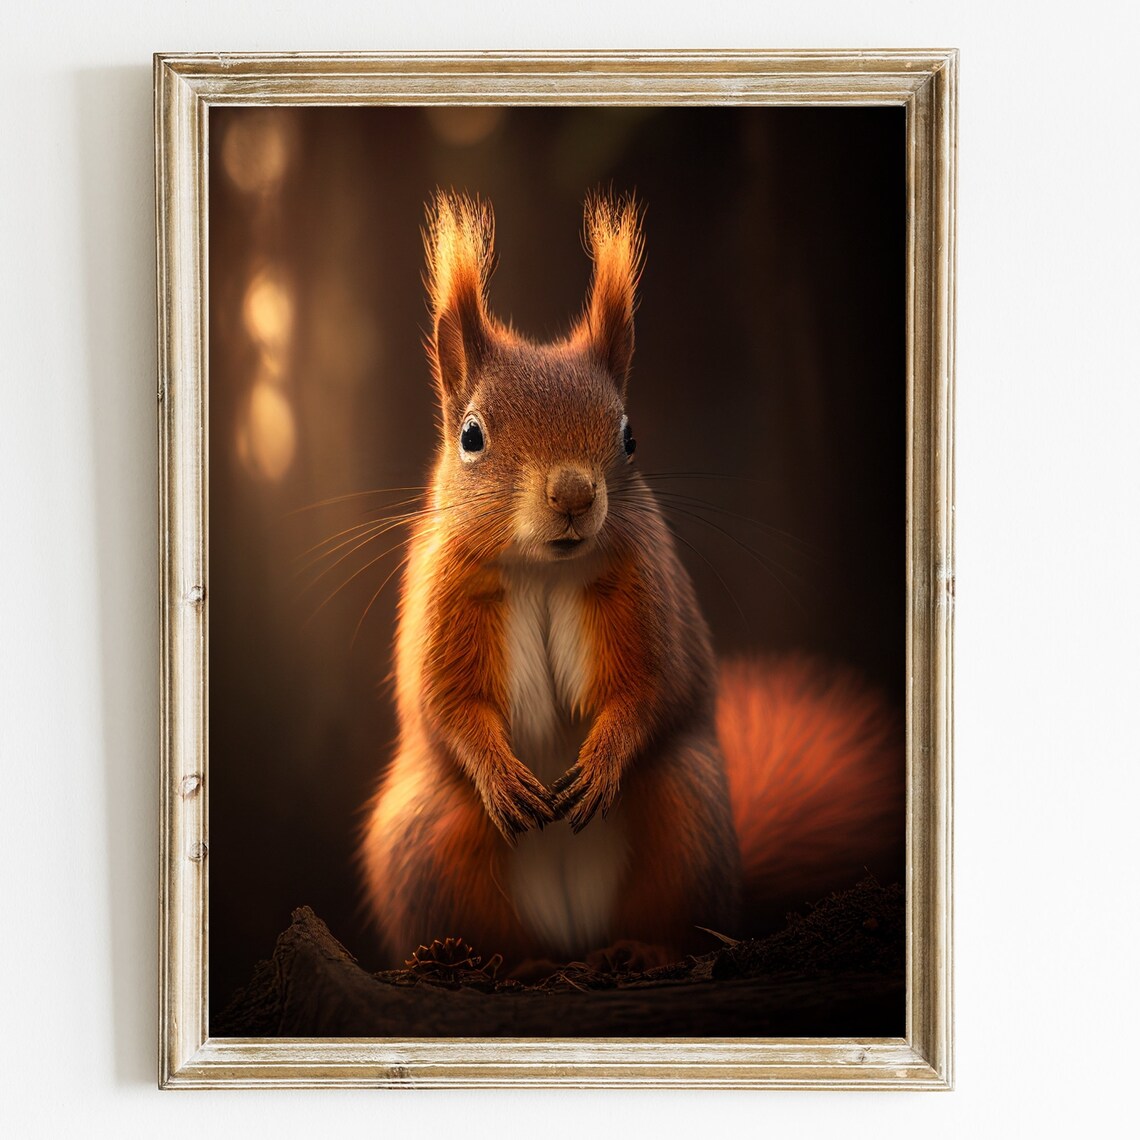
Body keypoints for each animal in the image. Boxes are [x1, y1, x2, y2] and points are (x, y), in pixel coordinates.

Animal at [358, 191, 904, 970]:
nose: (573, 494)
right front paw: (499, 774)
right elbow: (447, 703)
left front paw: (604, 760)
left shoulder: (645, 588)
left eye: (629, 435)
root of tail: (572, 939)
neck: (545, 571)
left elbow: (650, 687)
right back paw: (497, 963)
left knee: (672, 916)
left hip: (685, 811)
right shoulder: (446, 595)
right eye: (471, 436)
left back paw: (641, 954)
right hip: (427, 843)